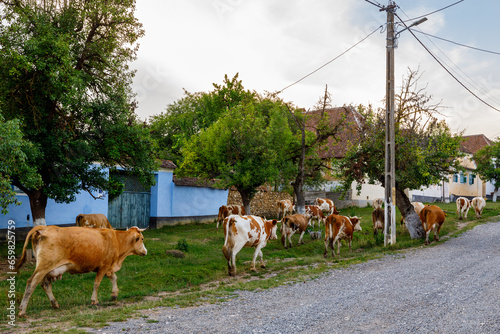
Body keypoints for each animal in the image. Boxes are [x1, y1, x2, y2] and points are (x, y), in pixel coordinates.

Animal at [14, 224, 146, 316]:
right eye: (142, 239)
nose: (146, 251)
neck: (116, 240)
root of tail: (45, 228)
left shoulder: (107, 267)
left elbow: (114, 278)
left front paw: (114, 294)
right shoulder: (104, 266)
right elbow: (97, 283)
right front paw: (94, 300)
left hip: (46, 269)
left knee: (45, 284)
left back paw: (55, 304)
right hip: (44, 266)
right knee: (31, 283)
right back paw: (22, 311)